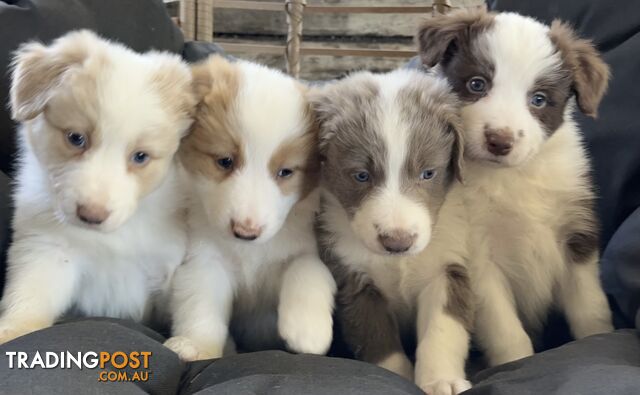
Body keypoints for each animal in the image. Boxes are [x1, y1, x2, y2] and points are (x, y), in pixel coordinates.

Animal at [0, 30, 195, 344]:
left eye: (140, 156)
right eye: (76, 138)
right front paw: (11, 331)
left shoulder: (170, 268)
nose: (92, 215)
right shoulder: (46, 250)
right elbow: (29, 296)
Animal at [162, 56, 338, 362]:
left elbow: (306, 268)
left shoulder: (305, 247)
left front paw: (308, 332)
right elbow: (201, 305)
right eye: (224, 161)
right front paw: (198, 346)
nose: (246, 231)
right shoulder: (205, 260)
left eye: (285, 172)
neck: (249, 252)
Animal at [312, 69, 472, 394]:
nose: (397, 242)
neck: (399, 263)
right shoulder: (355, 280)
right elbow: (377, 336)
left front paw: (441, 380)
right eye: (361, 175)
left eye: (428, 173)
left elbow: (442, 329)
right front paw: (397, 378)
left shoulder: (446, 267)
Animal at [420, 9, 616, 368]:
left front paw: (597, 340)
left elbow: (589, 306)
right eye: (477, 84)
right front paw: (515, 363)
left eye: (538, 99)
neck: (512, 177)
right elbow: (505, 329)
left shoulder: (577, 237)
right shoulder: (479, 257)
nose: (500, 140)